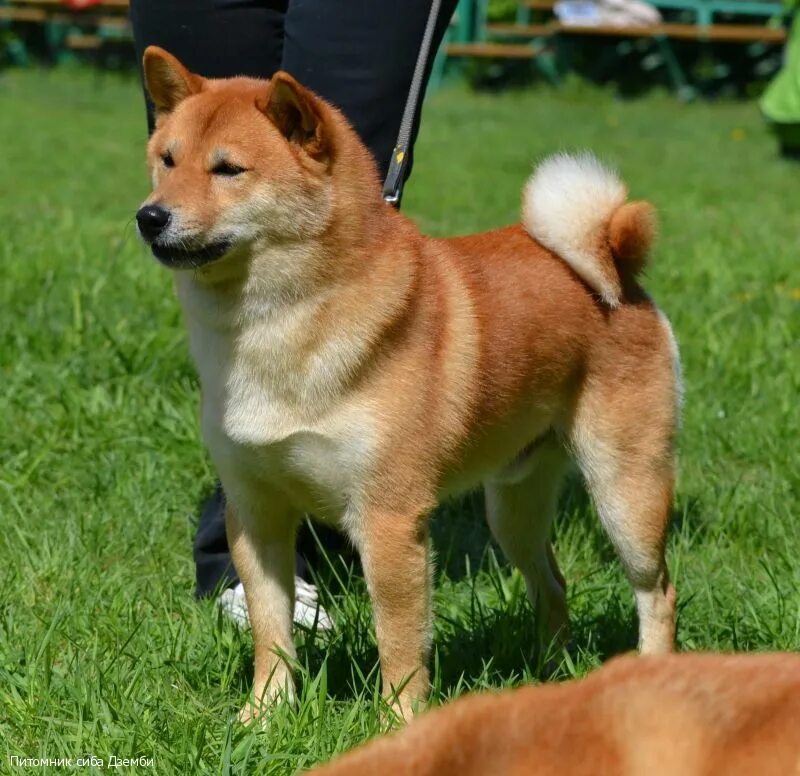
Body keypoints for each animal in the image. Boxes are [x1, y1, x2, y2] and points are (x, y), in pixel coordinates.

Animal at [136, 44, 680, 720]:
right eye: (167, 160)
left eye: (229, 169)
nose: (149, 216)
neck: (275, 330)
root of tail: (615, 264)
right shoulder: (255, 509)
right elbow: (272, 629)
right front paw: (263, 716)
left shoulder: (389, 519)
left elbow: (398, 644)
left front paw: (398, 722)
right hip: (513, 507)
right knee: (553, 583)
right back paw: (551, 673)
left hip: (625, 492)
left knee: (657, 591)